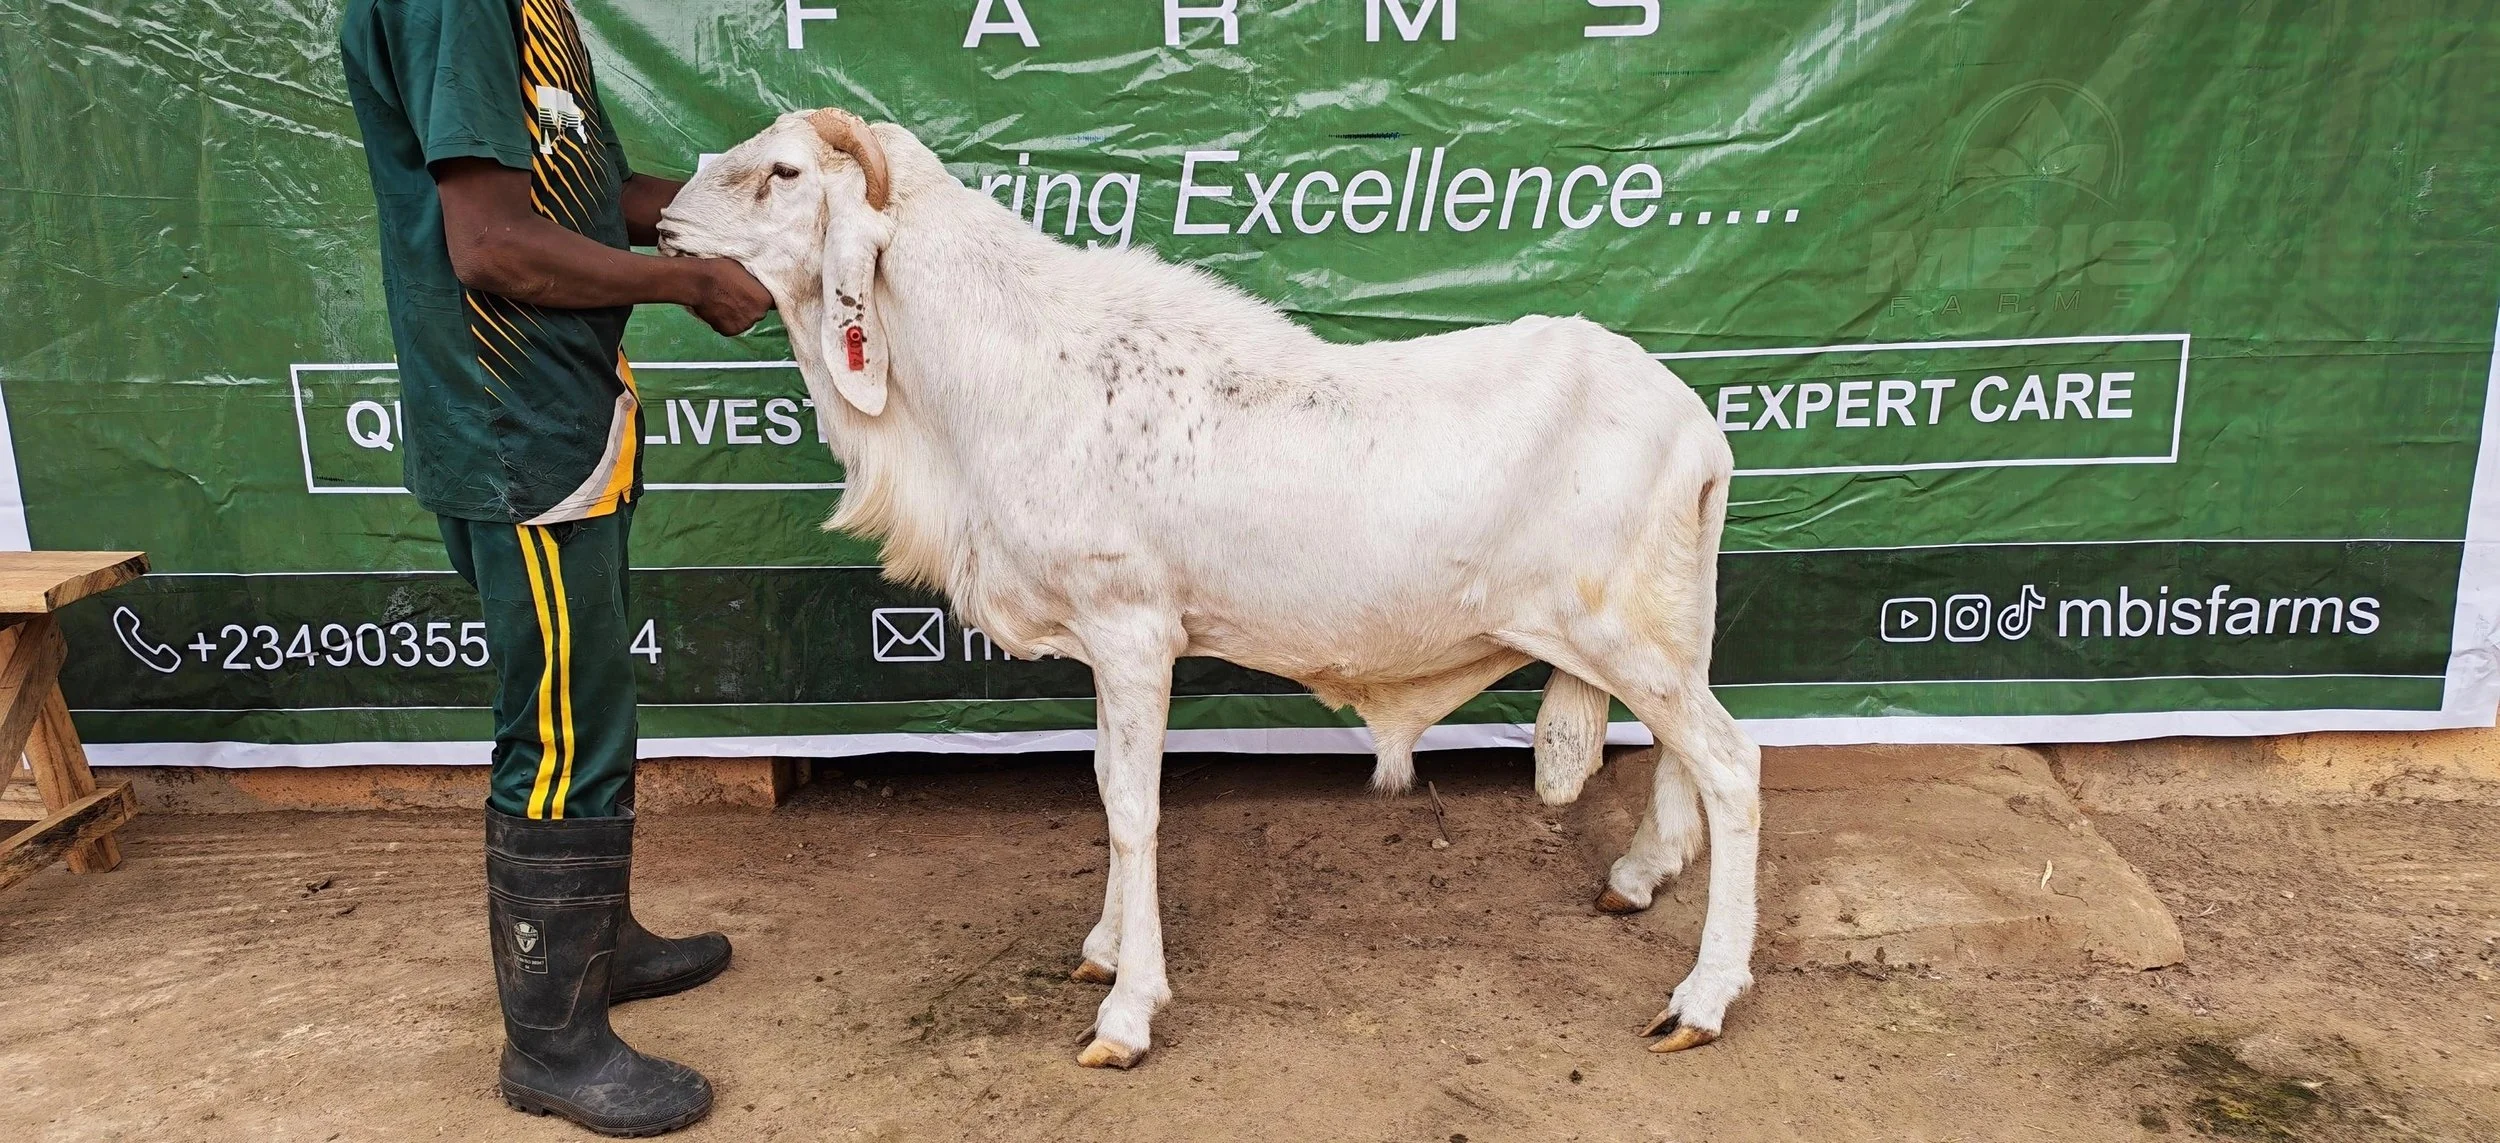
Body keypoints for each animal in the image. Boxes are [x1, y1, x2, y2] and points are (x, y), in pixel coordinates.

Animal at [656, 108, 1760, 1067]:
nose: (664, 222)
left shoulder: (1132, 630)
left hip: (1623, 632)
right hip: (1666, 628)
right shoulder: (1105, 645)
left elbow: (1134, 809)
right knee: (1686, 758)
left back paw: (1700, 1001)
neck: (1006, 373)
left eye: (784, 171)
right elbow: (1108, 788)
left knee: (1731, 766)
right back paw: (1638, 879)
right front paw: (1101, 950)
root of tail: (1699, 427)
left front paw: (1125, 1013)